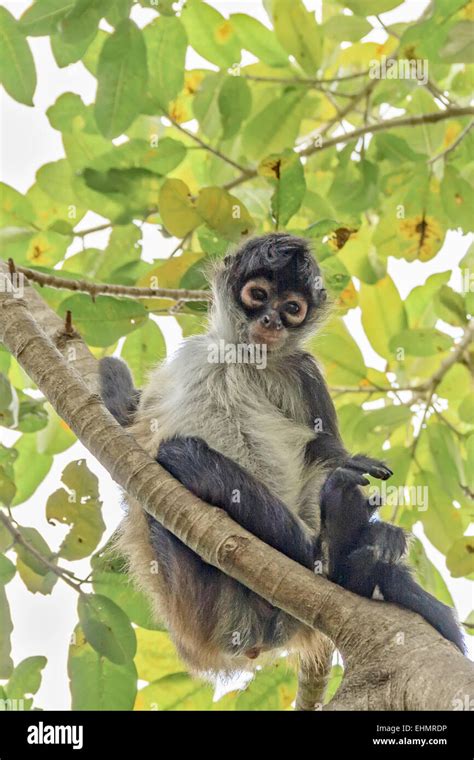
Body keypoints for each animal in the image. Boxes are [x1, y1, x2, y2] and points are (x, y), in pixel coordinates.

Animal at [99, 232, 462, 684]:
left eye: (292, 308)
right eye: (258, 295)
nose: (271, 321)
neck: (245, 358)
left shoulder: (303, 369)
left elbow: (326, 454)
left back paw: (343, 547)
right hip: (192, 592)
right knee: (177, 453)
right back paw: (332, 554)